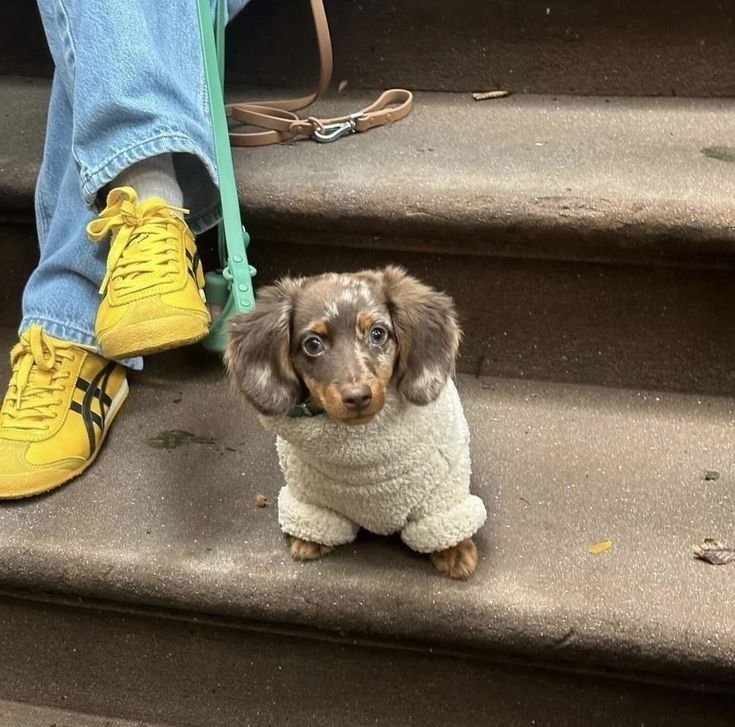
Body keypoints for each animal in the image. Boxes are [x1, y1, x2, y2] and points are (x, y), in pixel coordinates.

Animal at [227, 268, 486, 580]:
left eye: (378, 333)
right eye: (313, 343)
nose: (357, 396)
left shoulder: (441, 492)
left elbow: (441, 521)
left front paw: (455, 551)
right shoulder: (308, 496)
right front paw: (308, 540)